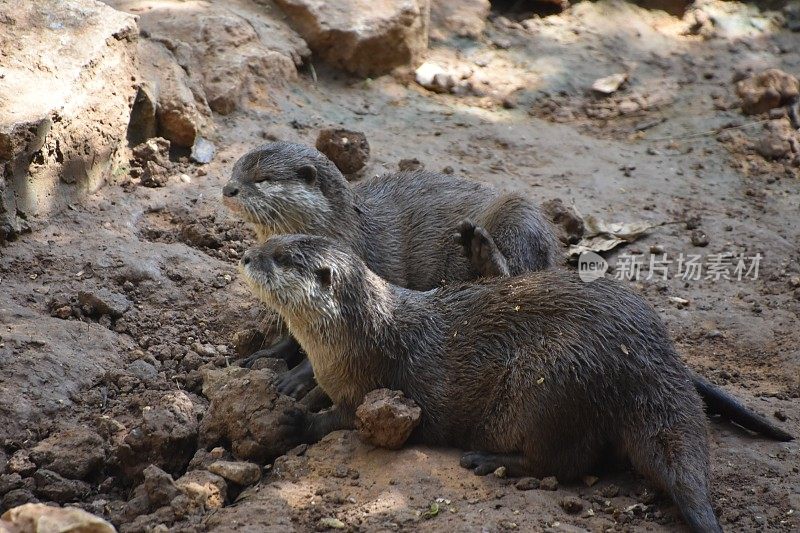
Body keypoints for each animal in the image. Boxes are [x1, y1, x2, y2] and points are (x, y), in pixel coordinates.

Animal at [223, 141, 792, 440]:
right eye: (234, 167)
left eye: (263, 178)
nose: (226, 188)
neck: (345, 229)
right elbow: (288, 331)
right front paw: (263, 356)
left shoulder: (372, 268)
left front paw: (295, 379)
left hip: (518, 216)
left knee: (509, 272)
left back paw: (481, 252)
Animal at [241, 234, 792, 532]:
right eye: (270, 243)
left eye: (281, 258)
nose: (247, 256)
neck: (360, 337)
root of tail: (650, 360)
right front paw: (291, 387)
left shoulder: (368, 385)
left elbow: (335, 422)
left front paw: (291, 423)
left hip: (551, 385)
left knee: (567, 462)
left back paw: (490, 461)